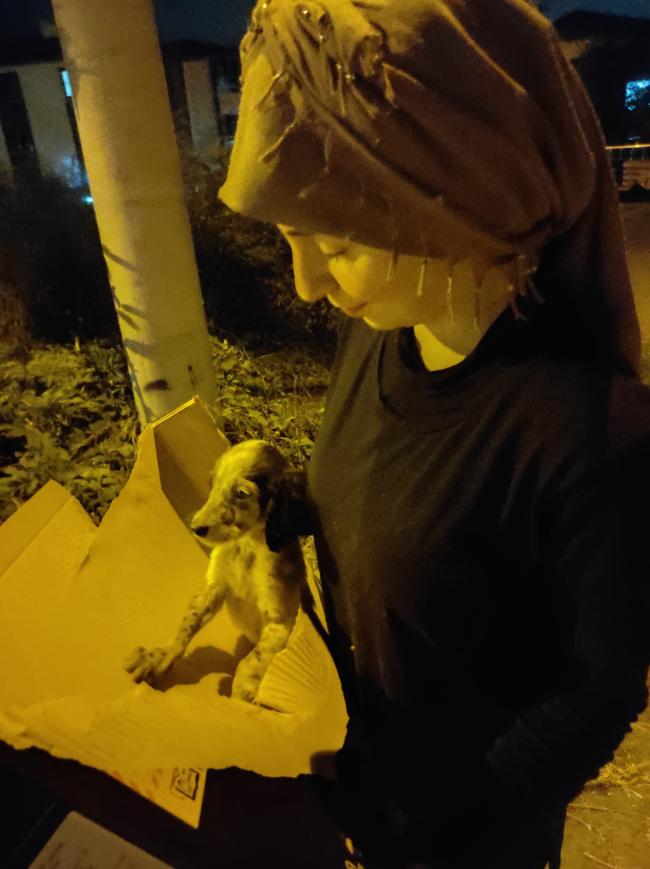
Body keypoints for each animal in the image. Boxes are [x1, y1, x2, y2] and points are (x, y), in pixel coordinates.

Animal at [124, 440, 312, 703]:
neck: (246, 546)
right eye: (212, 483)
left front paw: (242, 696)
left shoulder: (281, 622)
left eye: (241, 493)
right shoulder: (214, 588)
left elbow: (249, 661)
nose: (195, 528)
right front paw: (158, 658)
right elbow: (187, 624)